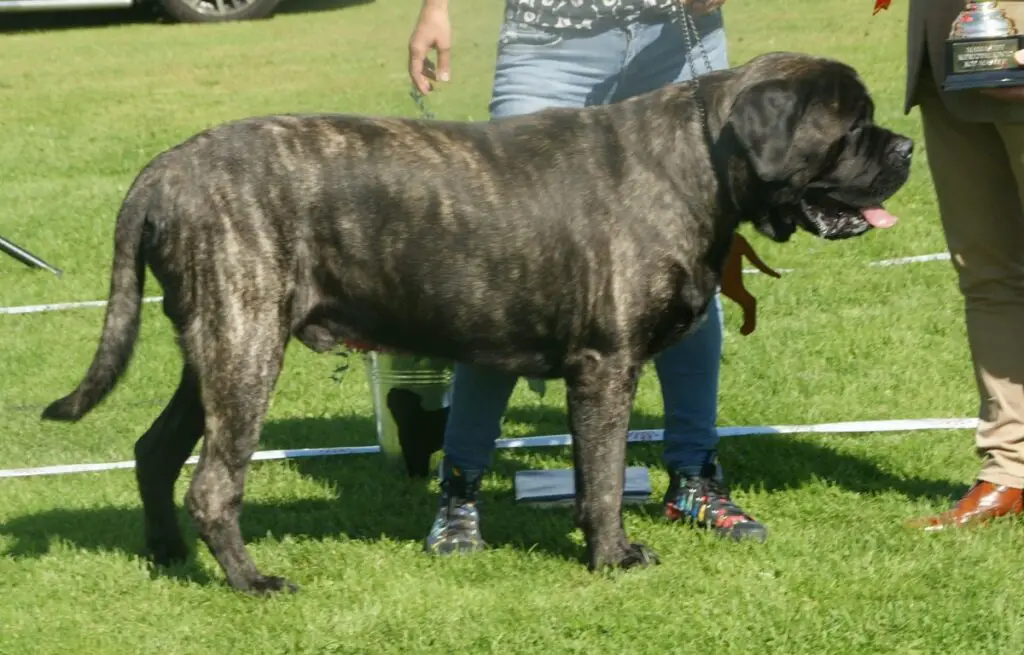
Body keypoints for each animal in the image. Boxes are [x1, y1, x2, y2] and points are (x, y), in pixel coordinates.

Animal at [46, 51, 913, 593]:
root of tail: (165, 169)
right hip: (245, 342)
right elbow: (602, 477)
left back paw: (167, 555)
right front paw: (614, 555)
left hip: (215, 347)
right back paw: (250, 579)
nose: (904, 144)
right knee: (213, 483)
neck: (695, 161)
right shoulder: (606, 365)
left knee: (156, 449)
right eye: (851, 126)